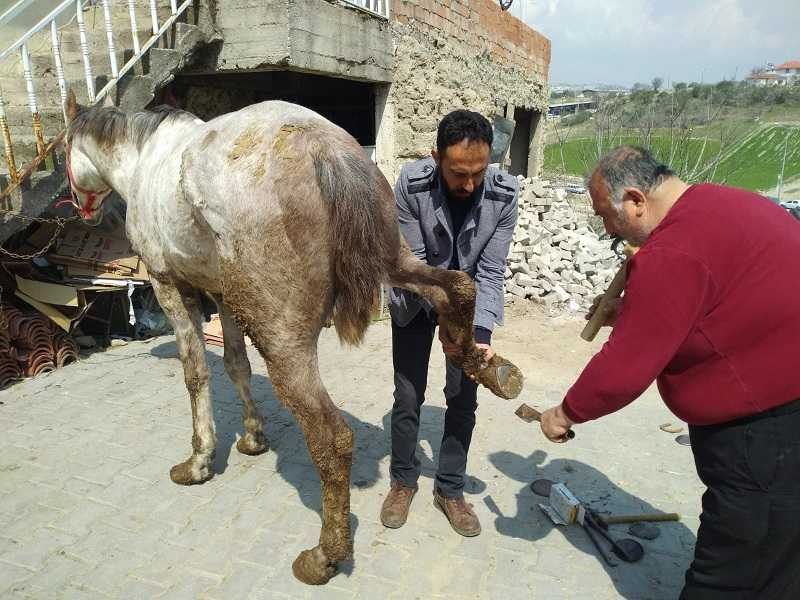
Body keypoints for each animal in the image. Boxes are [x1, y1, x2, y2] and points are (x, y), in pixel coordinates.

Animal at [64, 91, 524, 584]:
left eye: (65, 150)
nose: (81, 208)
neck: (145, 158)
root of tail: (325, 150)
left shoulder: (171, 286)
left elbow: (196, 374)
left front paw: (199, 462)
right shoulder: (223, 295)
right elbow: (235, 365)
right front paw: (252, 438)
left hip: (283, 339)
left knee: (332, 438)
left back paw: (324, 555)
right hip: (398, 260)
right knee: (458, 287)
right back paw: (491, 368)